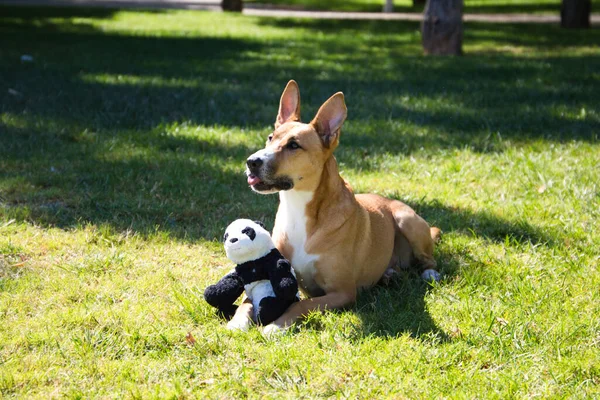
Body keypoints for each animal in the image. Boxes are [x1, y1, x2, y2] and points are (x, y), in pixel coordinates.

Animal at [225, 79, 440, 332]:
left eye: (294, 145)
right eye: (270, 137)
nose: (252, 162)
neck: (299, 207)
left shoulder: (342, 292)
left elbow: (300, 304)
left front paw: (277, 325)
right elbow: (246, 301)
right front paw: (237, 322)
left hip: (406, 220)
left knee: (428, 259)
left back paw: (429, 273)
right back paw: (389, 275)